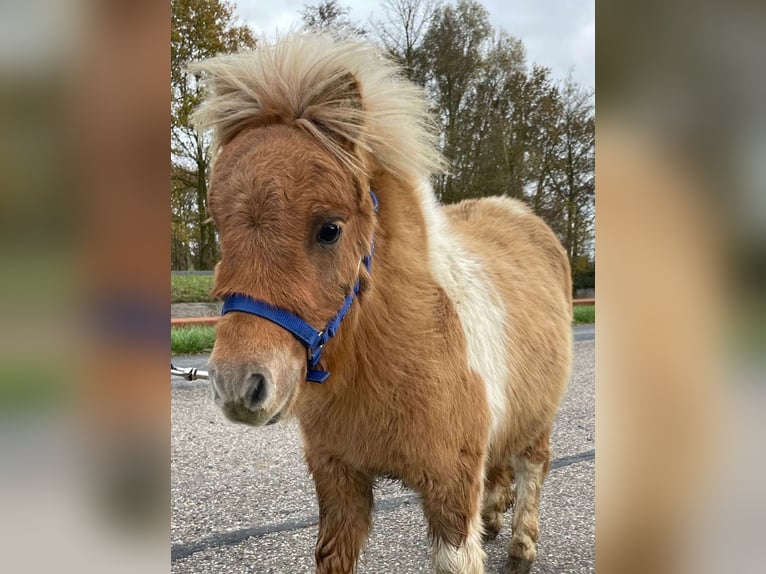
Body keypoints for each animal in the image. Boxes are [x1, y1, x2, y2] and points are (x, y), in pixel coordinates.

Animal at [195, 32, 572, 574]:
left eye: (330, 229)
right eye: (222, 228)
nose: (239, 386)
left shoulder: (451, 492)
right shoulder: (339, 485)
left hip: (539, 419)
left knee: (532, 467)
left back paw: (521, 546)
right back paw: (494, 520)